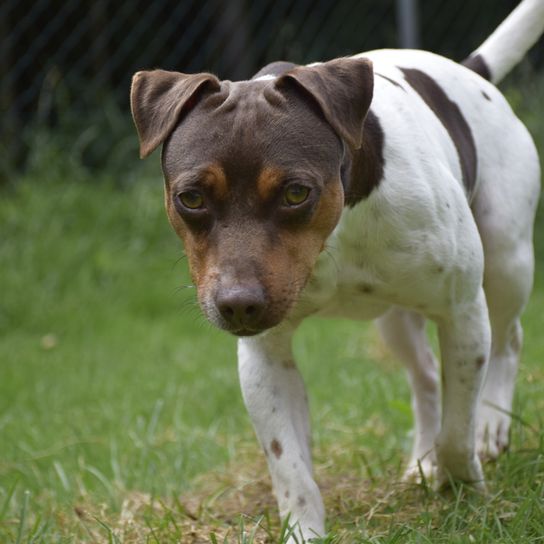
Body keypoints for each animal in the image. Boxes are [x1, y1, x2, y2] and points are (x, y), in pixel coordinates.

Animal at [131, 1, 544, 540]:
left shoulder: (461, 313)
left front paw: (464, 488)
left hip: (506, 258)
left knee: (508, 339)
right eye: (192, 198)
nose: (238, 304)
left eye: (295, 192)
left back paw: (492, 424)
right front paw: (303, 529)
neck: (335, 235)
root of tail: (470, 70)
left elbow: (459, 430)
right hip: (395, 320)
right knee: (426, 377)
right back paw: (421, 458)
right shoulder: (265, 359)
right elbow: (290, 467)